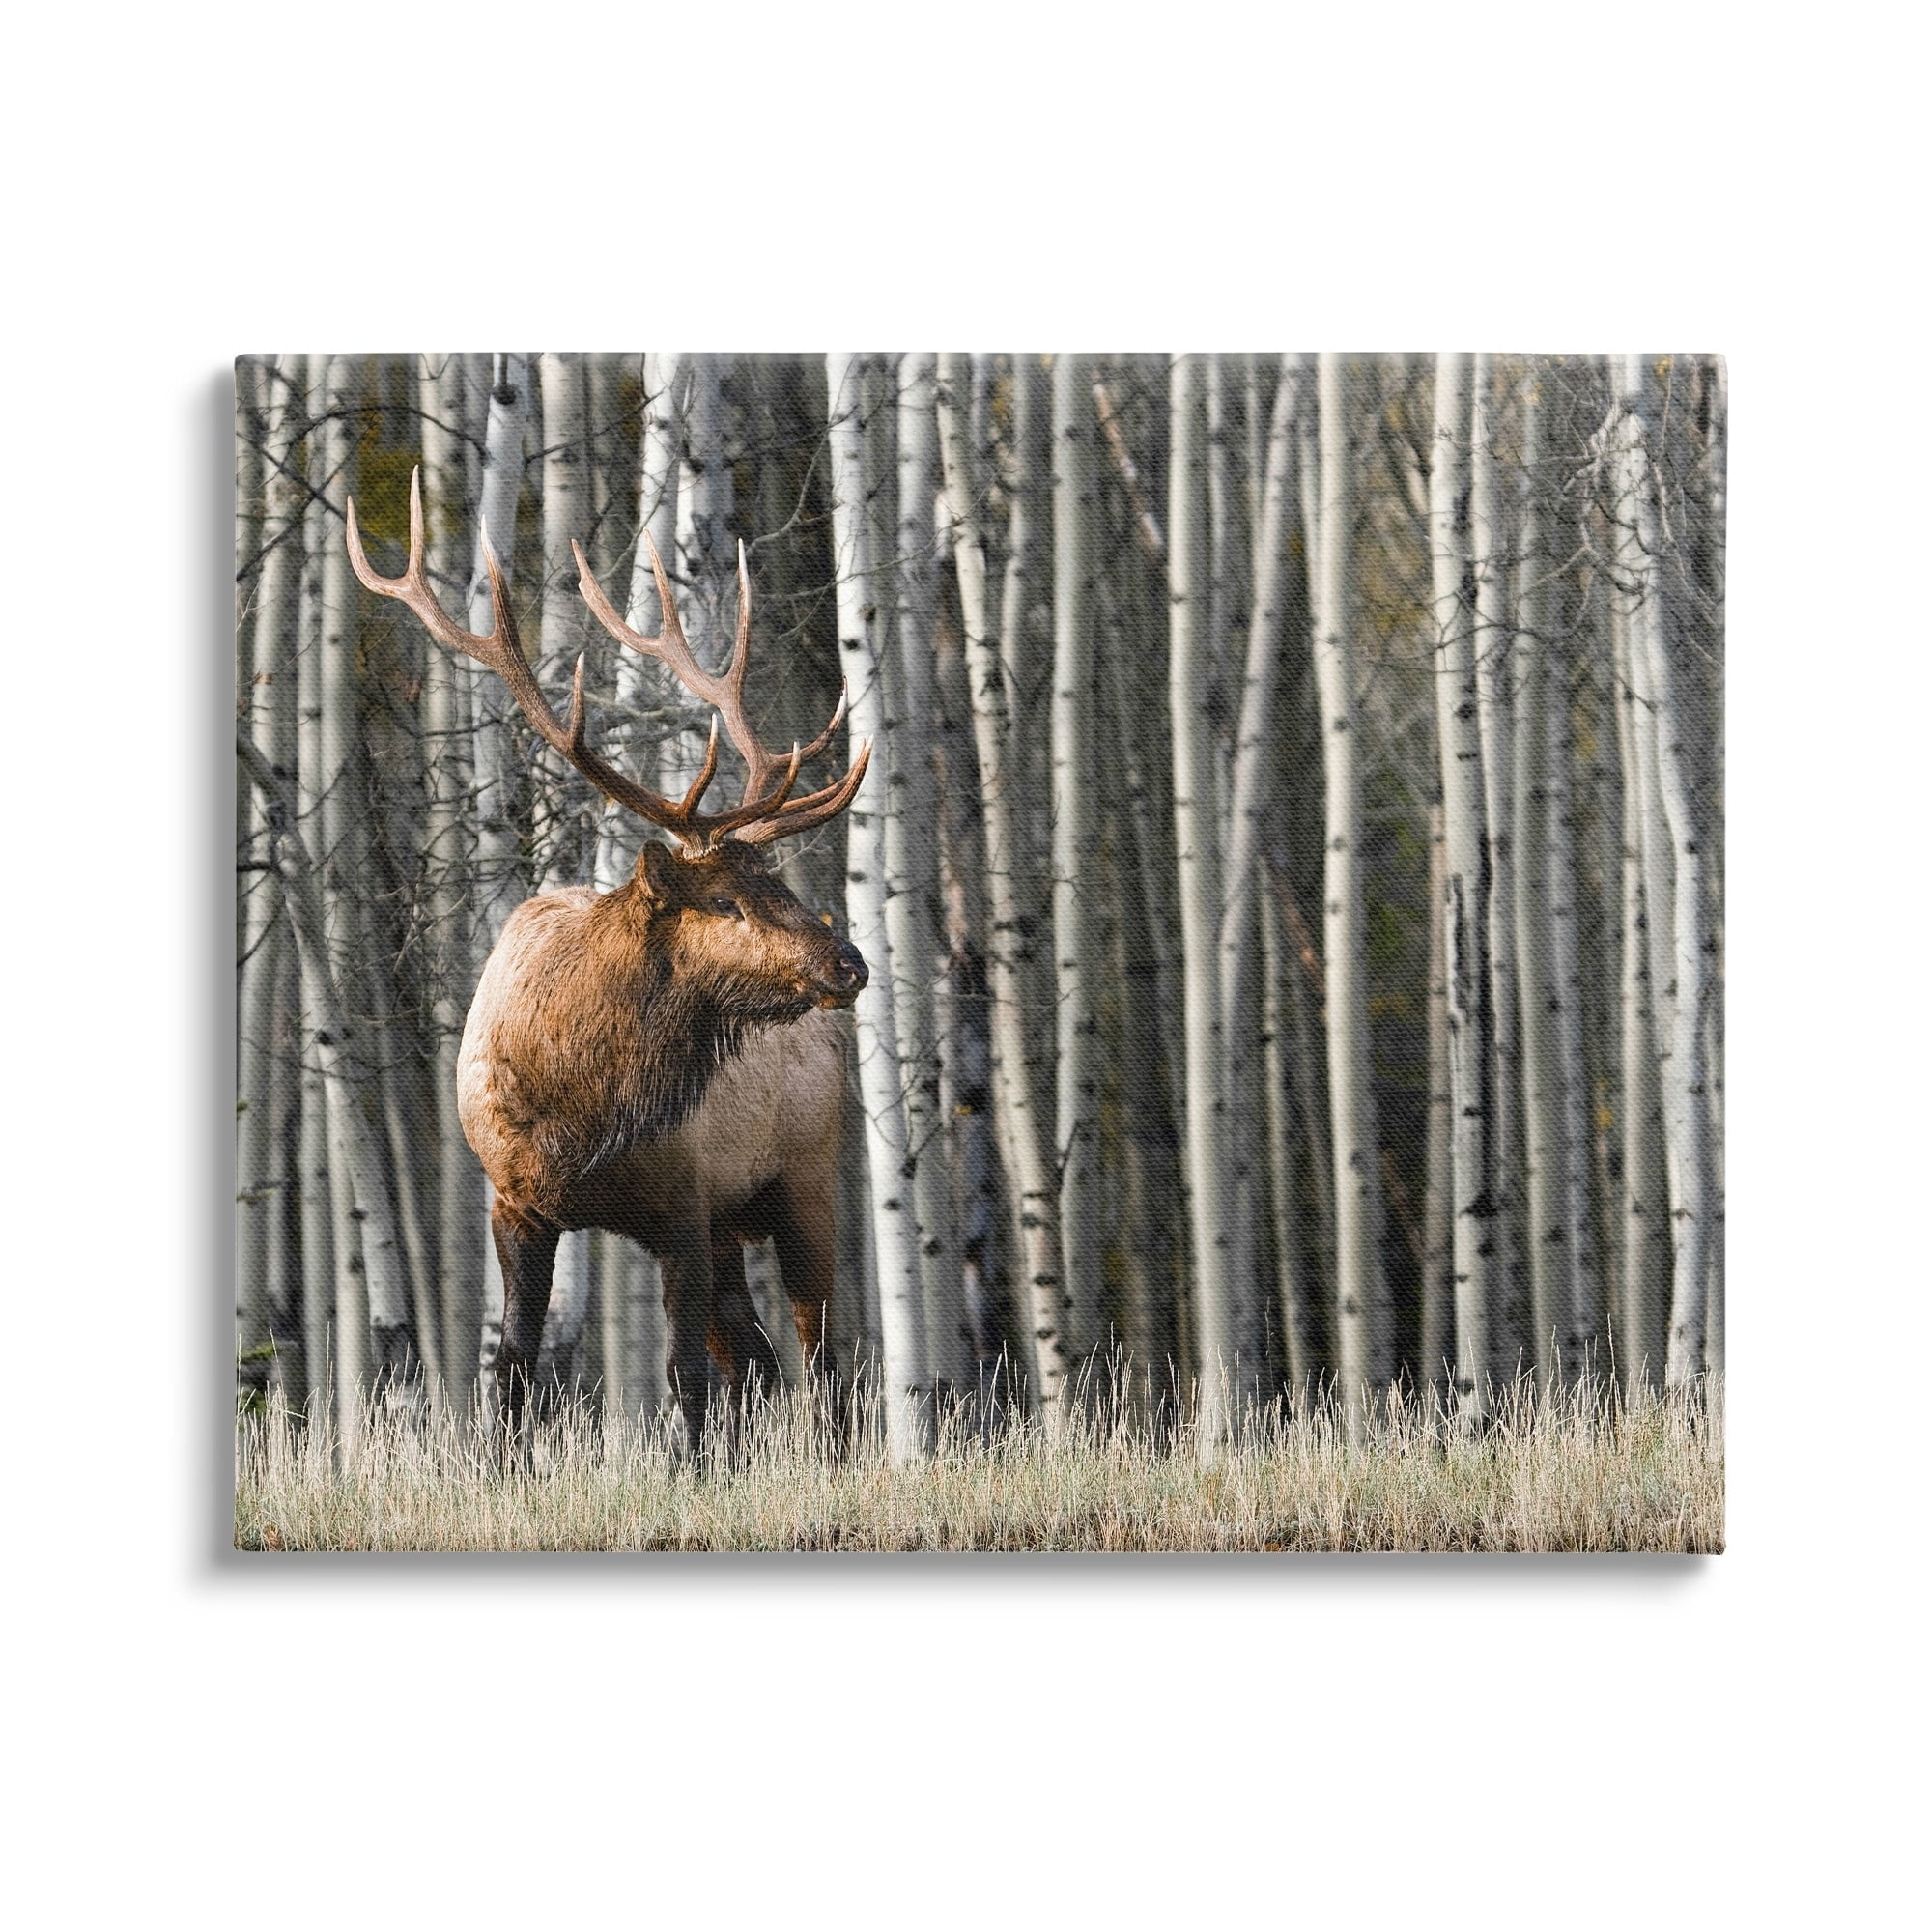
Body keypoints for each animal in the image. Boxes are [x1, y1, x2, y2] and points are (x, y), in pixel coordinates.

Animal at [345, 470, 873, 1450]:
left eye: (776, 878)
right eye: (724, 900)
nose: (847, 962)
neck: (582, 1110)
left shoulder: (683, 1206)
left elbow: (685, 1380)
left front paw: (691, 1472)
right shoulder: (517, 1203)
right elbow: (515, 1368)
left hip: (805, 1179)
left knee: (823, 1361)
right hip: (738, 1224)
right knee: (762, 1362)